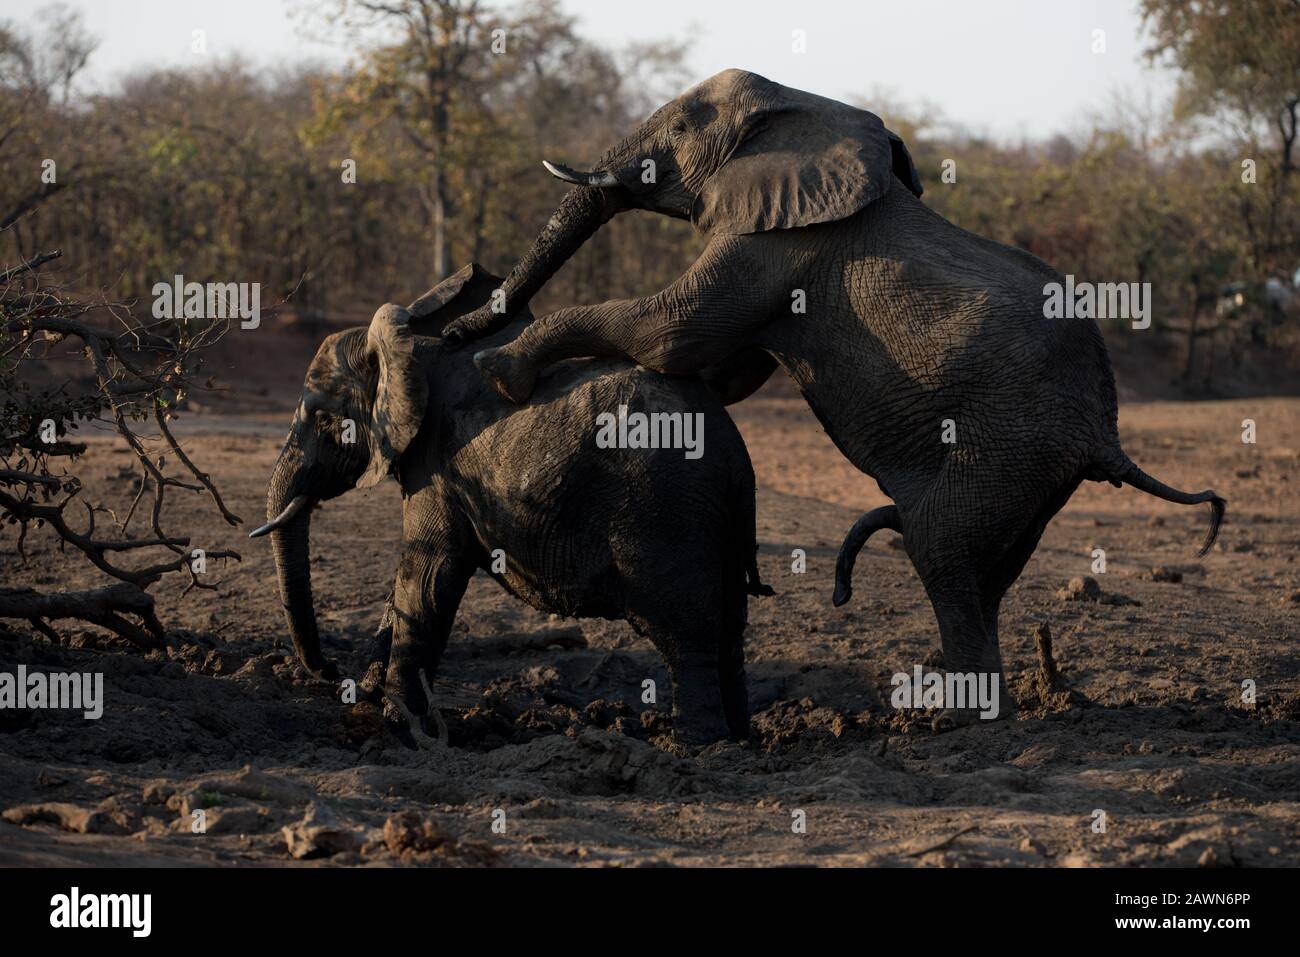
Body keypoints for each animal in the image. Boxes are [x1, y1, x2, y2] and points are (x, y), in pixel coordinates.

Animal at [246, 263, 764, 748]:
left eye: (323, 419)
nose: (331, 672)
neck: (408, 346)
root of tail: (731, 450)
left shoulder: (437, 463)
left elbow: (427, 577)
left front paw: (403, 726)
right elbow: (409, 586)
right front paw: (369, 701)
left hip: (665, 510)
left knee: (687, 633)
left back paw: (697, 745)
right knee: (729, 629)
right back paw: (740, 739)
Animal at [441, 70, 1222, 722]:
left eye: (685, 125)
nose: (452, 322)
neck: (804, 105)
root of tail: (1106, 432)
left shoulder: (776, 244)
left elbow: (667, 333)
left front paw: (495, 366)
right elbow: (721, 369)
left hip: (1010, 444)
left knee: (943, 553)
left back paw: (959, 720)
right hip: (1037, 472)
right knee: (987, 575)